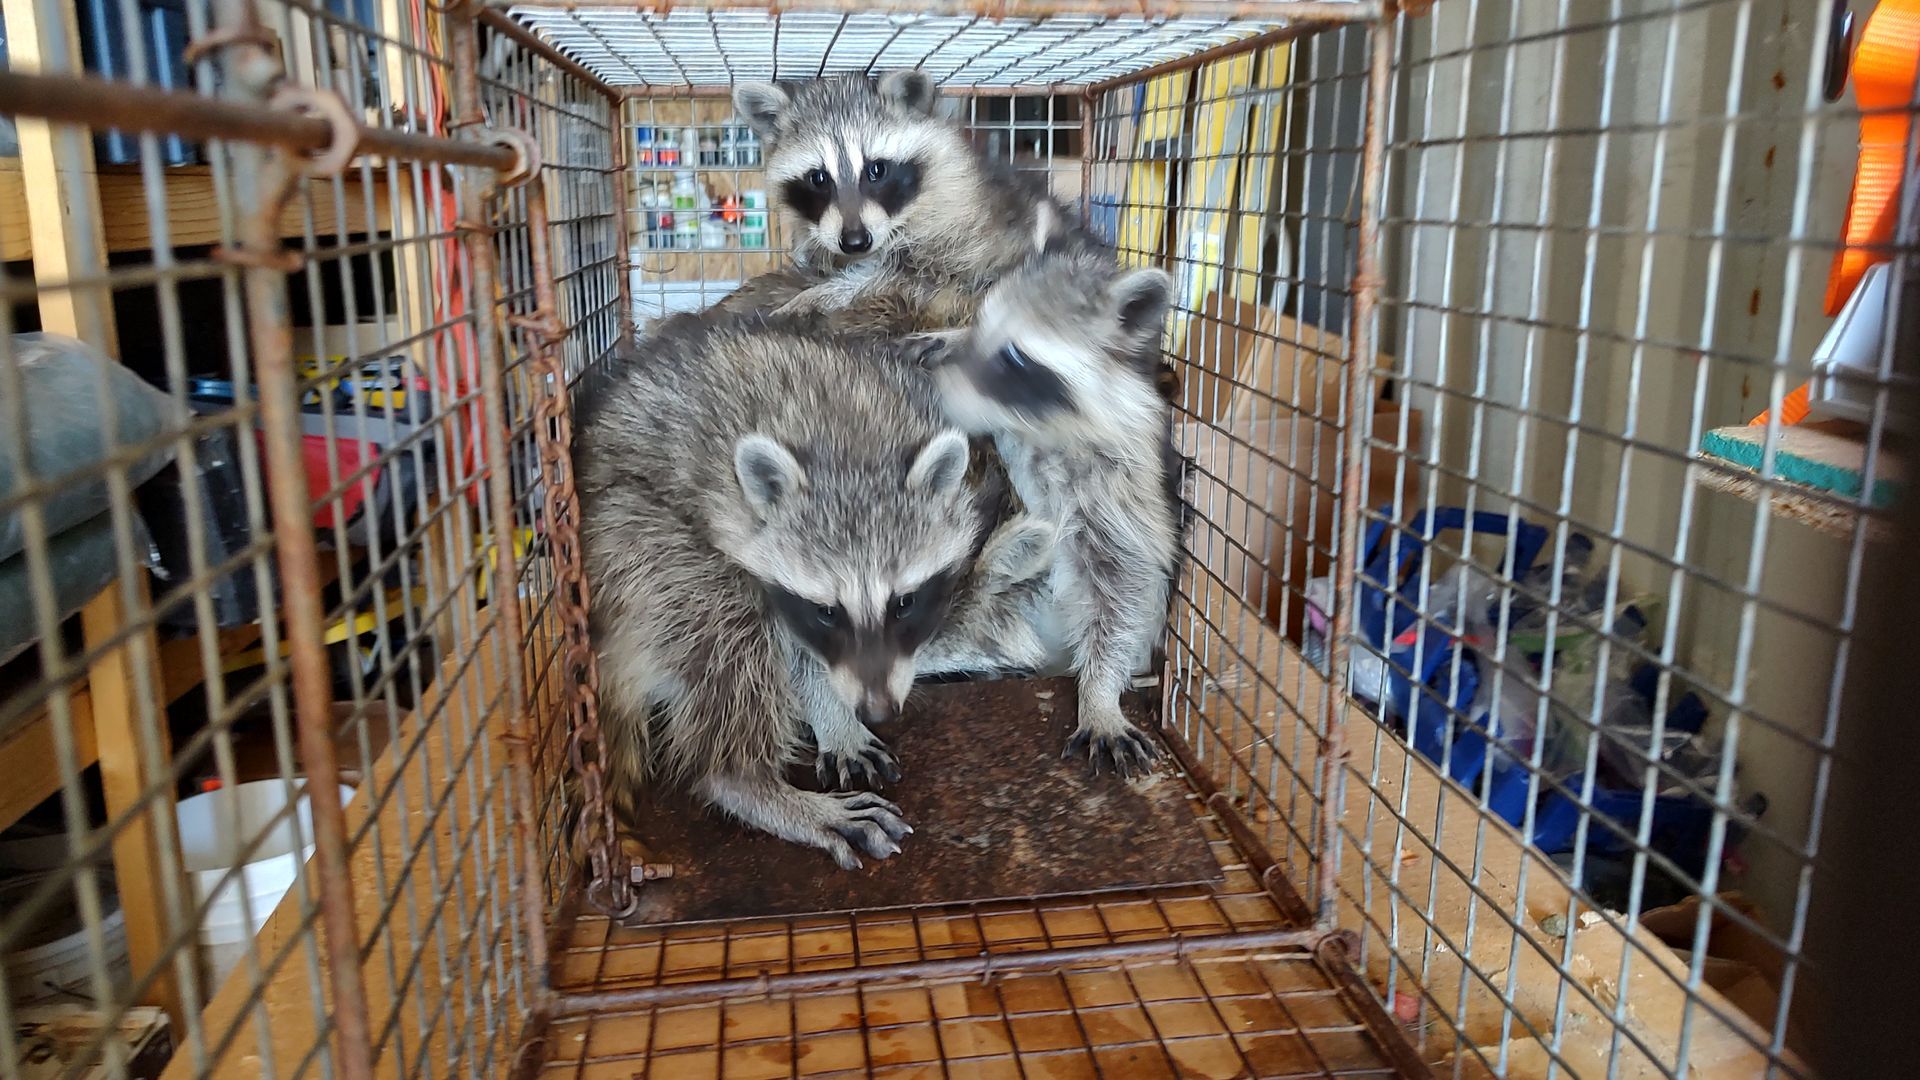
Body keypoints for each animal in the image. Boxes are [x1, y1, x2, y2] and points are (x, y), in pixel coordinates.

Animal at [577, 314, 1005, 867]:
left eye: (904, 603)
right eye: (826, 612)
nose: (877, 711)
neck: (850, 445)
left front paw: (835, 712)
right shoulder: (723, 510)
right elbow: (781, 637)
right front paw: (828, 705)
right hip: (626, 546)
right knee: (723, 622)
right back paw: (744, 779)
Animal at [921, 237, 1183, 777]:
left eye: (1015, 359)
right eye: (978, 330)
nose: (933, 380)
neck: (1039, 432)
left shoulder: (1120, 489)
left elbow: (1125, 588)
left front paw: (1100, 695)